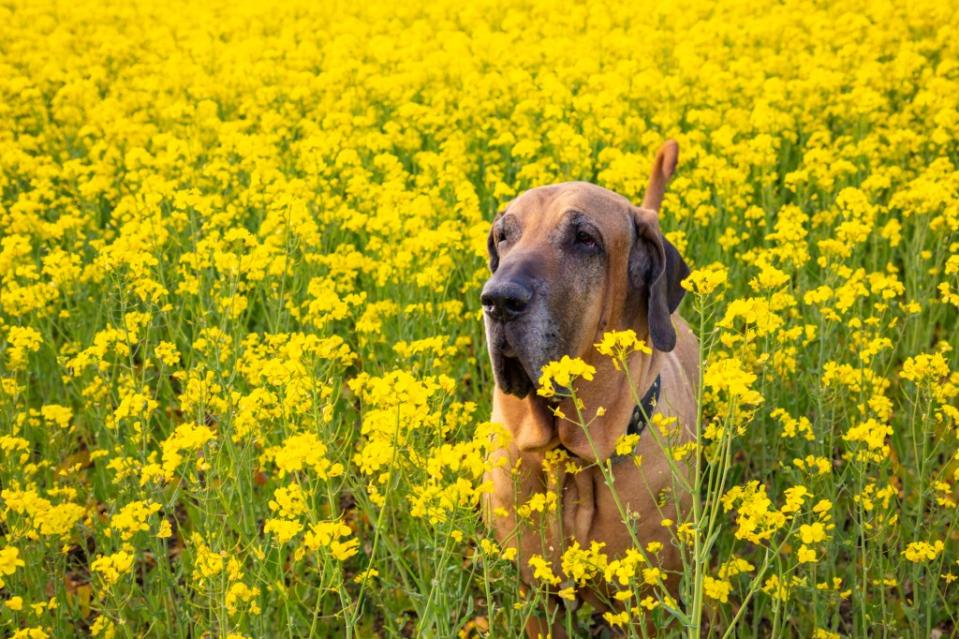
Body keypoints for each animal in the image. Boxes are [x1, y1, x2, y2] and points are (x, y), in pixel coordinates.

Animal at [480, 142, 696, 636]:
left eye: (585, 239)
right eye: (503, 236)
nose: (498, 300)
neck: (570, 462)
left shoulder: (649, 600)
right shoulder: (536, 595)